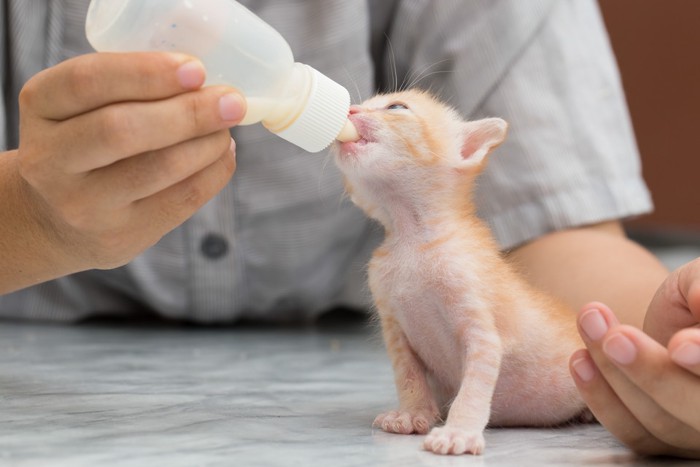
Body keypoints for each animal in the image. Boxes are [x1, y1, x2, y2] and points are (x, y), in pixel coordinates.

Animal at [334, 89, 592, 456]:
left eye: (396, 107)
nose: (351, 110)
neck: (411, 237)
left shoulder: (481, 330)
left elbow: (473, 387)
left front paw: (459, 431)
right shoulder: (393, 326)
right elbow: (408, 375)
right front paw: (412, 413)